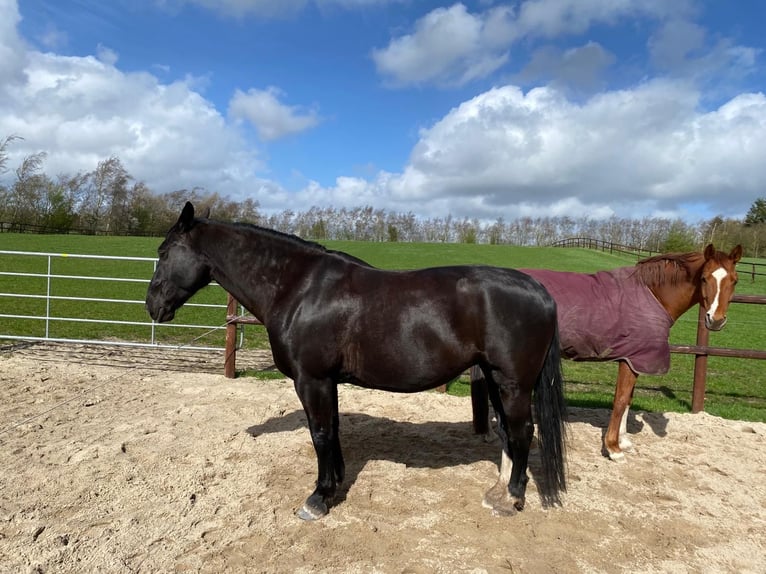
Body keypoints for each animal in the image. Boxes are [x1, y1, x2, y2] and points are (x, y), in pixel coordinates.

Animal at [146, 204, 568, 520]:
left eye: (163, 253)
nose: (153, 306)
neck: (299, 289)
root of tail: (539, 290)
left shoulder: (311, 379)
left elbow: (319, 433)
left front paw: (317, 498)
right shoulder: (326, 381)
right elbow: (332, 430)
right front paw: (335, 483)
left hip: (513, 382)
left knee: (522, 432)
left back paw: (512, 498)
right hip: (498, 379)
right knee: (510, 434)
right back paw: (497, 493)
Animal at [472, 244, 740, 464]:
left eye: (735, 280)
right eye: (704, 278)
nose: (716, 320)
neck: (653, 294)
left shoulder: (634, 359)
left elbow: (628, 400)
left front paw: (623, 441)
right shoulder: (631, 360)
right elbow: (620, 401)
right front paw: (613, 448)